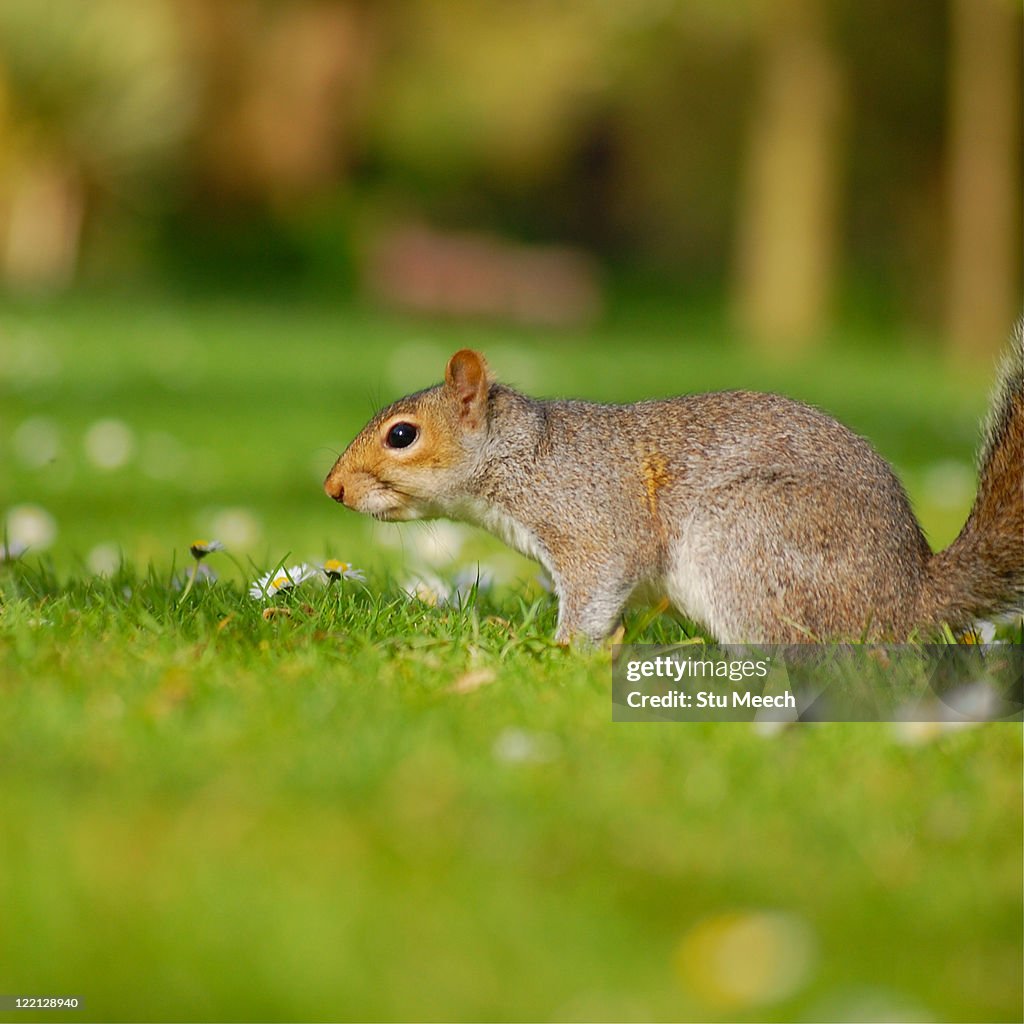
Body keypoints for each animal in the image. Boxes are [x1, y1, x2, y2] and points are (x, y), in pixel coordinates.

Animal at [325, 323, 1024, 643]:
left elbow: (599, 583)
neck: (524, 455)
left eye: (402, 435)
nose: (333, 490)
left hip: (748, 538)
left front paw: (559, 650)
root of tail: (908, 596)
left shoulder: (592, 520)